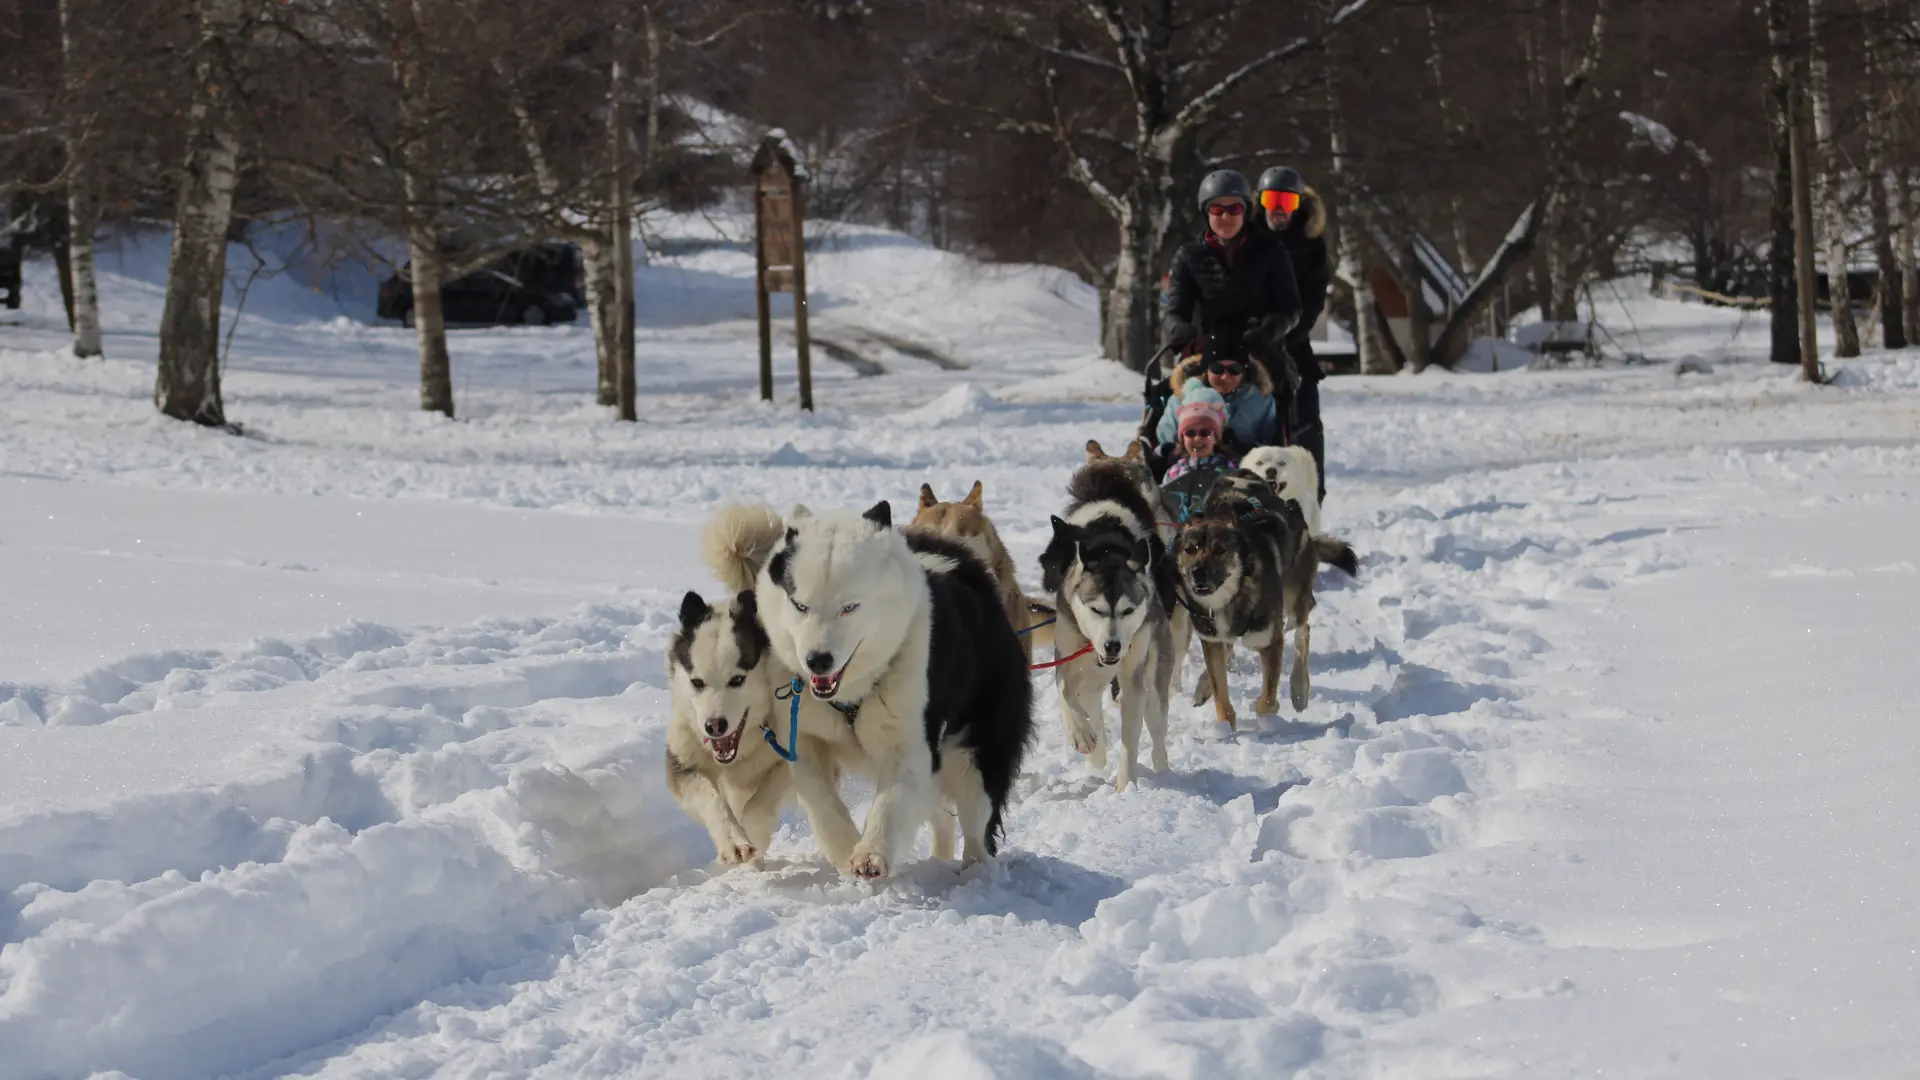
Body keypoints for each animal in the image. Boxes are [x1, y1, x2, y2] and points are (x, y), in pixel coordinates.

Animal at [706, 499, 1036, 880]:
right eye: (800, 605)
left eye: (850, 607)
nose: (817, 660)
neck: (851, 694)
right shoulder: (803, 738)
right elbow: (821, 801)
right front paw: (845, 847)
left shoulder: (911, 744)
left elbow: (891, 803)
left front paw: (870, 854)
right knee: (941, 815)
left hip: (980, 747)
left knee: (977, 818)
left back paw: (975, 872)